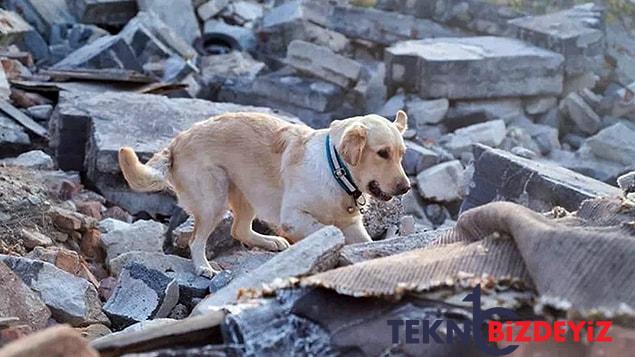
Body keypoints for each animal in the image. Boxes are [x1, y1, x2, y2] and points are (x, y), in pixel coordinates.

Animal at [118, 110, 412, 276]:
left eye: (402, 154)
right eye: (382, 153)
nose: (406, 188)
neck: (335, 169)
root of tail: (177, 142)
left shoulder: (353, 225)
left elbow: (366, 242)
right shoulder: (293, 217)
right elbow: (327, 230)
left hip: (247, 192)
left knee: (239, 230)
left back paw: (271, 243)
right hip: (214, 199)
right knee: (196, 240)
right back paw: (203, 267)